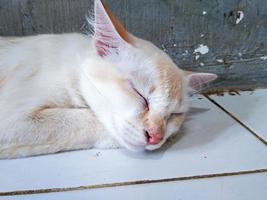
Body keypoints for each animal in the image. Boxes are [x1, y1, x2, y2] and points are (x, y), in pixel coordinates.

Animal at [0, 0, 218, 159]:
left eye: (174, 114)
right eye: (140, 95)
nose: (156, 137)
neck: (70, 65)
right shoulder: (13, 118)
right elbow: (86, 120)